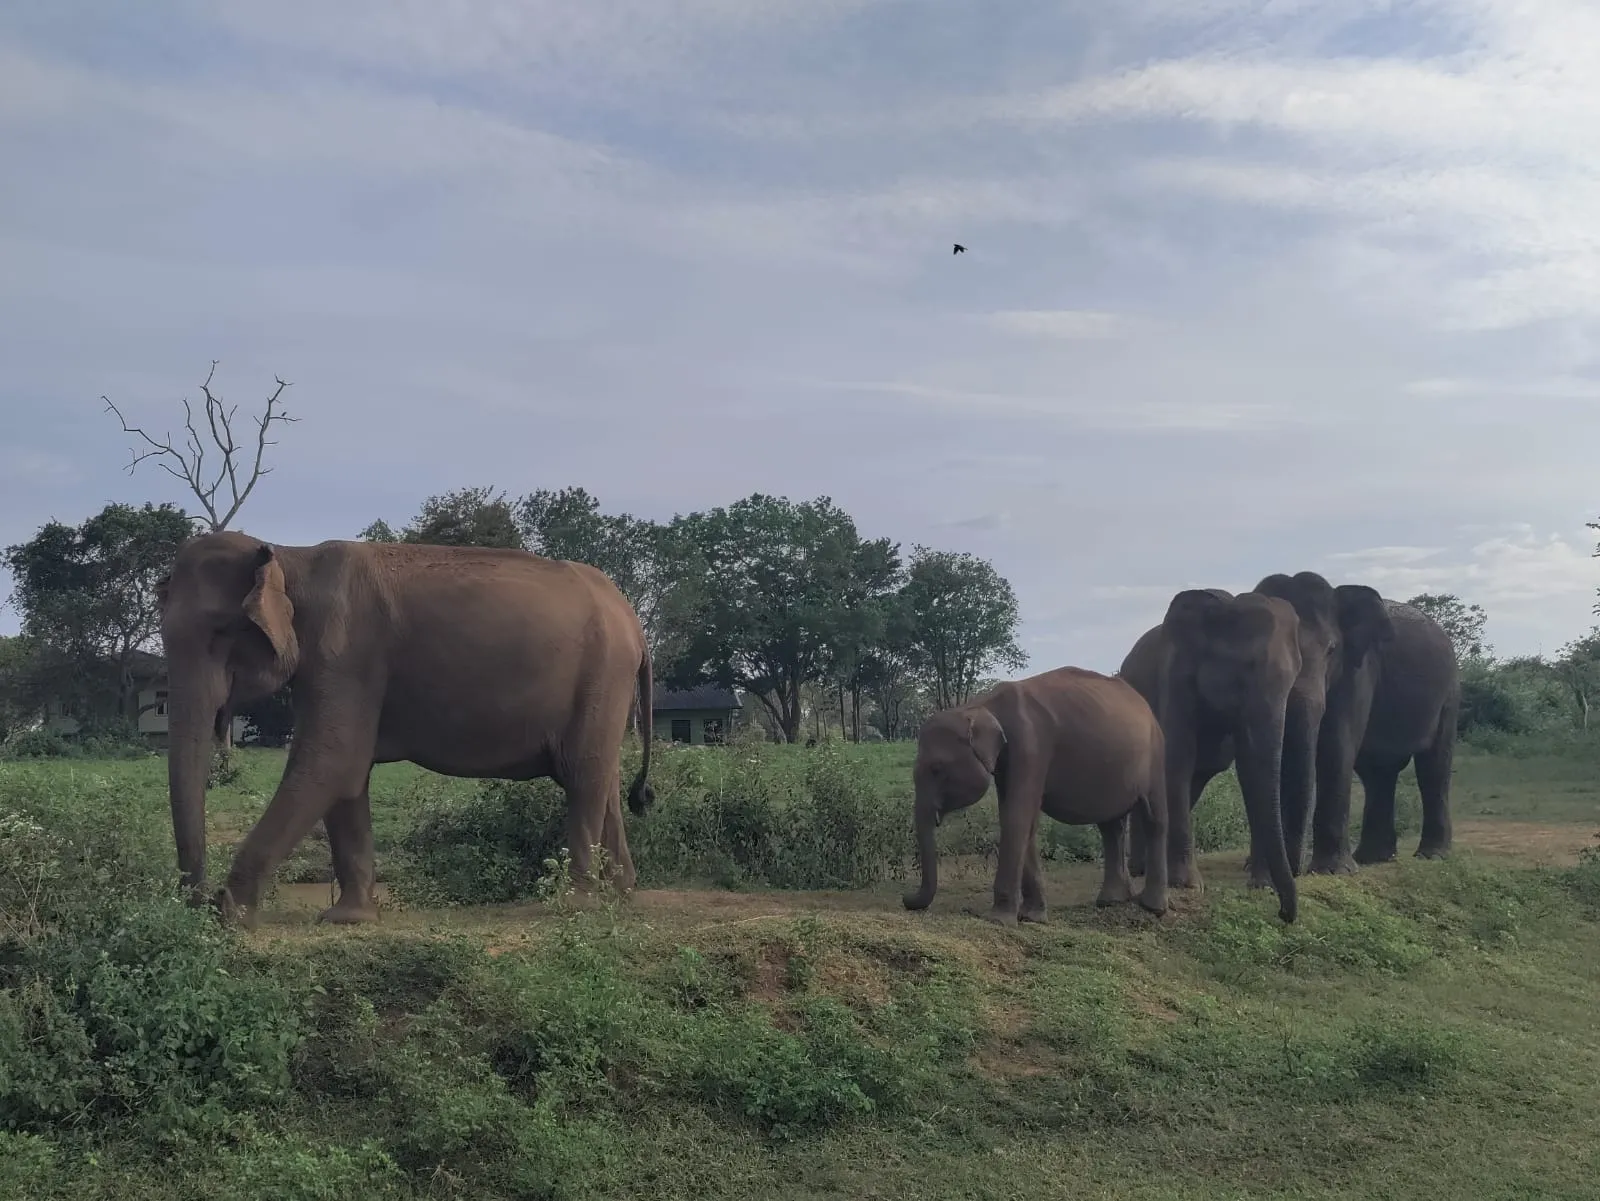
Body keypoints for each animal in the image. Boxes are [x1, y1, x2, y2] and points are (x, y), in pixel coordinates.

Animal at [156, 530, 655, 929]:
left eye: (221, 632)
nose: (197, 900)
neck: (291, 557)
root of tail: (634, 620)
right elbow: (346, 776)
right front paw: (348, 918)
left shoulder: (346, 653)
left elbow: (330, 763)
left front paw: (230, 915)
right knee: (602, 777)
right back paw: (621, 894)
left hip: (603, 674)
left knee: (584, 776)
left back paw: (578, 904)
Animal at [900, 665, 1169, 926]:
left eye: (936, 769)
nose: (905, 898)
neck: (981, 705)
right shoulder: (1008, 761)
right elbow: (1022, 820)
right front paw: (1031, 917)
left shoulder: (1030, 746)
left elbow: (1016, 816)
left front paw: (999, 919)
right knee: (1111, 825)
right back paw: (1111, 901)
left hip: (1155, 755)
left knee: (1153, 819)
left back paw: (1152, 907)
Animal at [1118, 587, 1310, 923]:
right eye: (1246, 669)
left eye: (1293, 680)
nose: (1284, 914)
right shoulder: (1175, 674)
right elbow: (1177, 758)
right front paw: (1188, 886)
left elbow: (1247, 768)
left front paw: (1261, 885)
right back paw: (1140, 869)